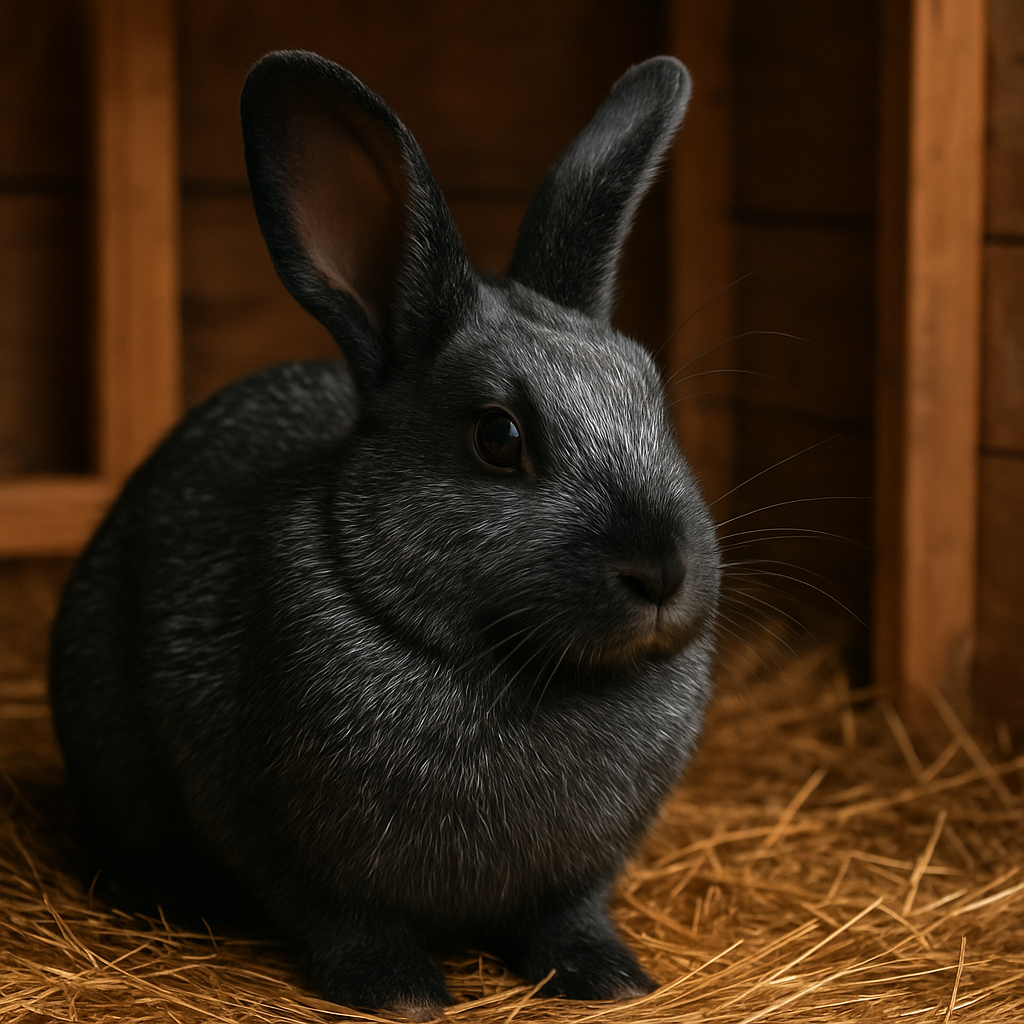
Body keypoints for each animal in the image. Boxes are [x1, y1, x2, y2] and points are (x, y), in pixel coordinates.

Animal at [49, 50, 720, 1019]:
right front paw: (402, 993)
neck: (513, 667)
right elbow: (343, 918)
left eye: (652, 401)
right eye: (498, 437)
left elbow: (566, 916)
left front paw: (612, 978)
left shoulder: (577, 875)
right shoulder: (284, 838)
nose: (662, 570)